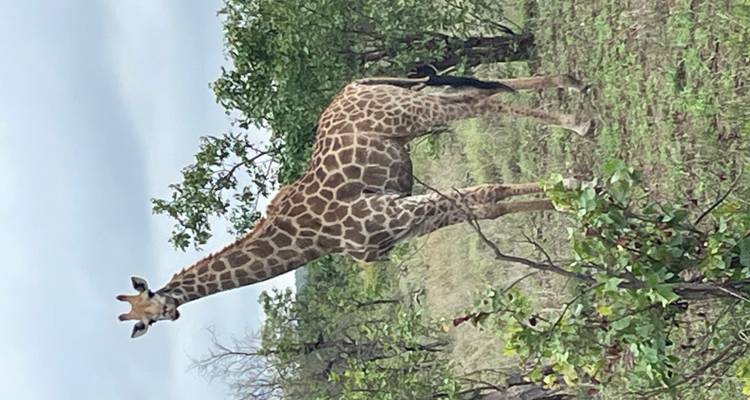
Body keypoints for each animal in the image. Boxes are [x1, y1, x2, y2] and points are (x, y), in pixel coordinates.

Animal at [117, 74, 590, 338]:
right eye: (145, 321)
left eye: (153, 311)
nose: (174, 315)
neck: (310, 242)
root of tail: (355, 84)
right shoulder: (401, 223)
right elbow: (485, 206)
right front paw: (571, 196)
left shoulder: (393, 213)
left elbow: (483, 194)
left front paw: (575, 186)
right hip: (413, 104)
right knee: (478, 89)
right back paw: (573, 84)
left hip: (413, 112)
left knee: (480, 100)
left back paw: (579, 123)